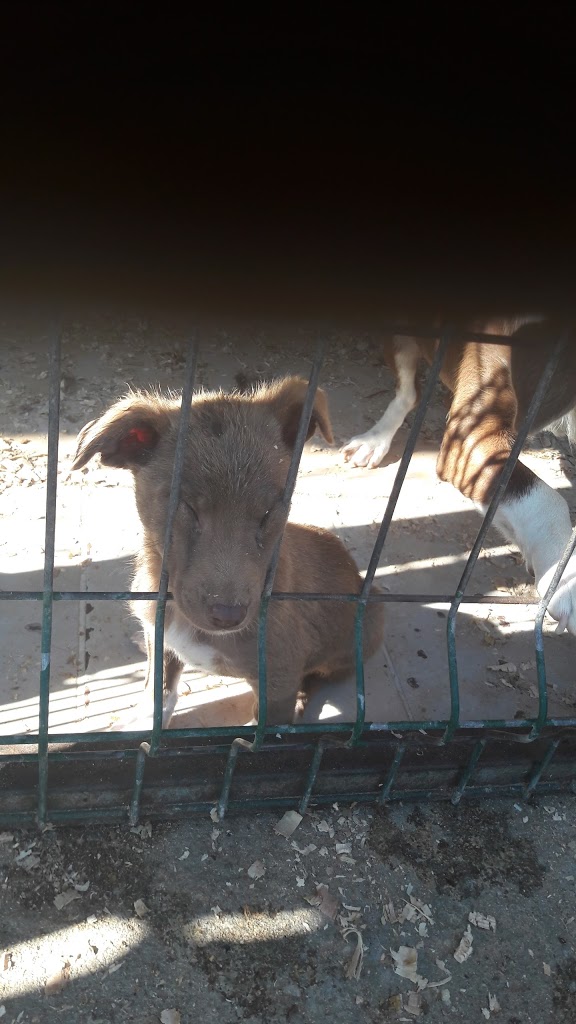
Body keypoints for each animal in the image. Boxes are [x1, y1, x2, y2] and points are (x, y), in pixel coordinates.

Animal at [72, 378, 385, 729]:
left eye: (268, 513)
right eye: (187, 507)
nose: (228, 617)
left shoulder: (279, 676)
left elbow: (267, 722)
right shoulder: (160, 636)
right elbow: (159, 686)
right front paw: (145, 720)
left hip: (371, 615)